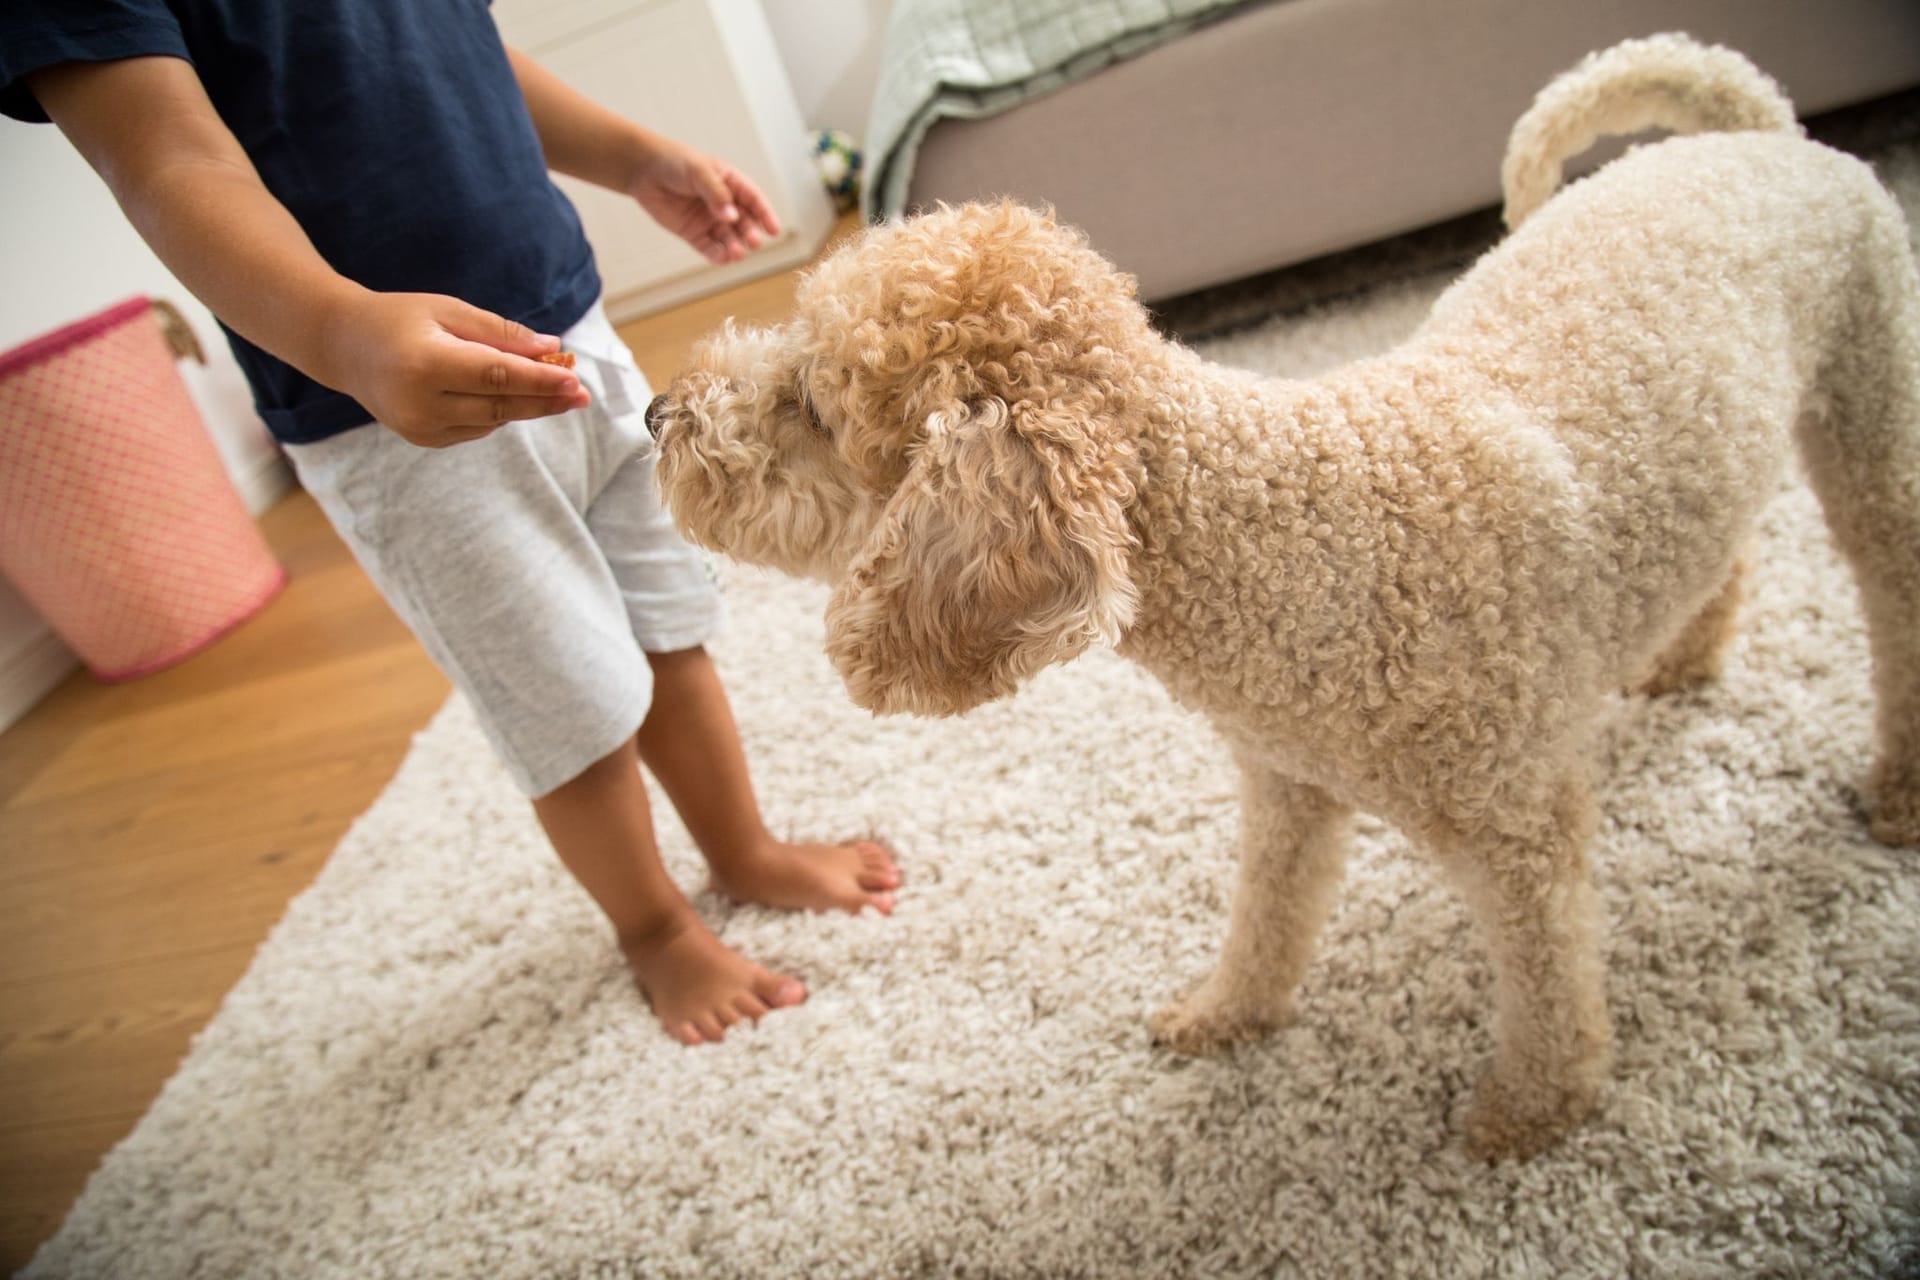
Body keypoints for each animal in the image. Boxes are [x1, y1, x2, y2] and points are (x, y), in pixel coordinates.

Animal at [648, 37, 1920, 1159]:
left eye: (814, 403)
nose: (661, 410)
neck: (1292, 537)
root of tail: (1761, 130)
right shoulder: (1287, 788)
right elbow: (1268, 917)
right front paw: (1227, 1015)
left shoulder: (1521, 831)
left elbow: (1551, 984)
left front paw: (1533, 1111)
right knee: (1730, 551)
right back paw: (1685, 657)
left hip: (1868, 429)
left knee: (1891, 596)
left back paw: (1897, 795)